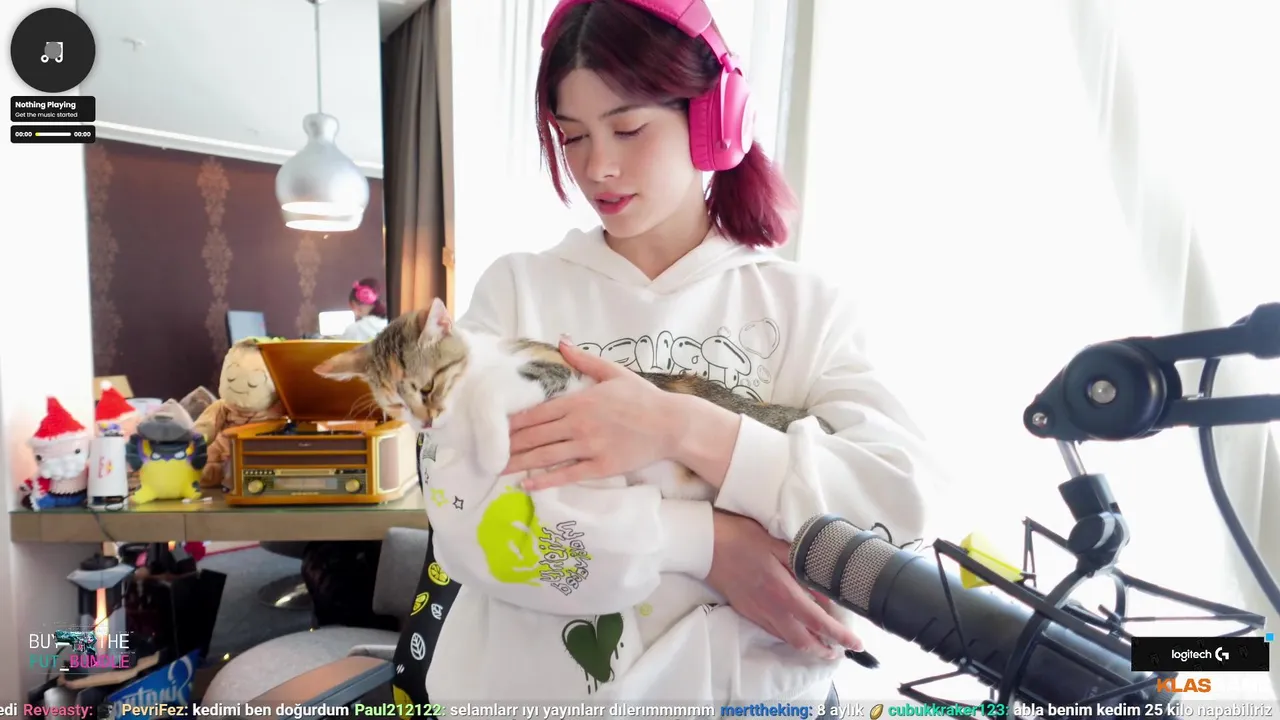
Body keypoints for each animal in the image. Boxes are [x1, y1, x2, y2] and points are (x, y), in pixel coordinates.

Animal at [313, 298, 834, 501]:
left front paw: (493, 454)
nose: (424, 422)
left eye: (426, 387)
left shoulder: (554, 370)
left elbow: (492, 396)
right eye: (395, 406)